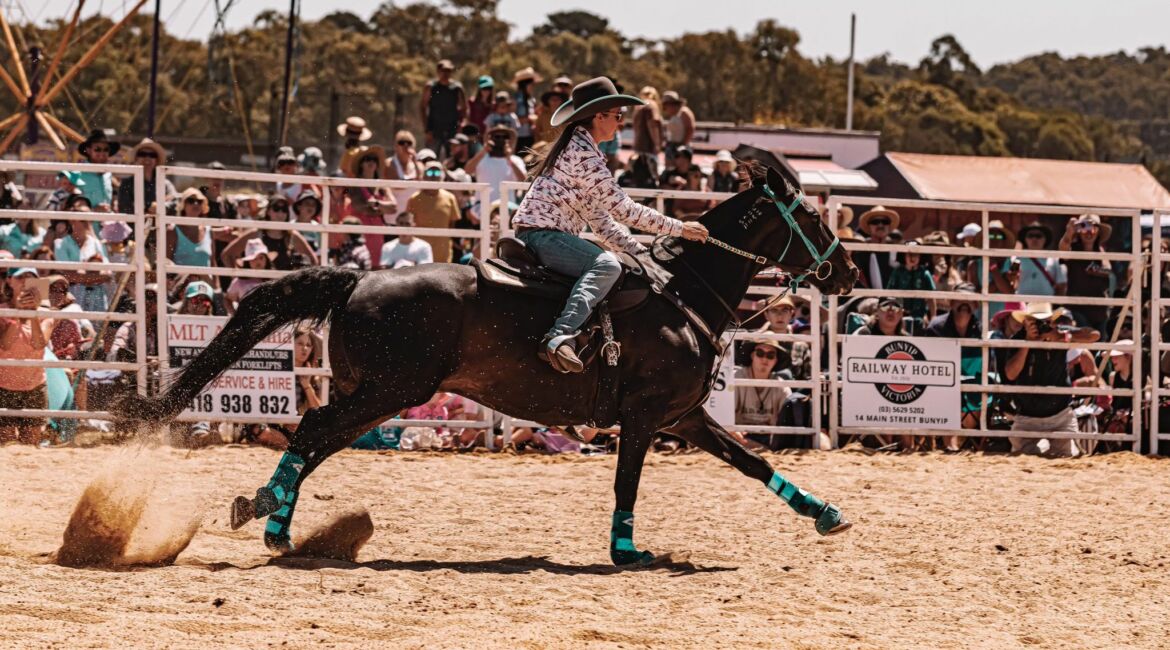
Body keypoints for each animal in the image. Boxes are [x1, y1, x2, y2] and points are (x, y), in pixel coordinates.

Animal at [123, 164, 861, 565]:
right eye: (812, 221)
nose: (848, 272)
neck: (680, 295)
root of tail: (358, 279)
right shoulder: (646, 417)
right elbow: (627, 483)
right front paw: (626, 551)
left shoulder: (684, 417)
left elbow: (752, 461)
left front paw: (825, 513)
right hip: (390, 391)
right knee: (310, 431)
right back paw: (268, 513)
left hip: (375, 394)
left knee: (315, 439)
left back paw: (275, 521)